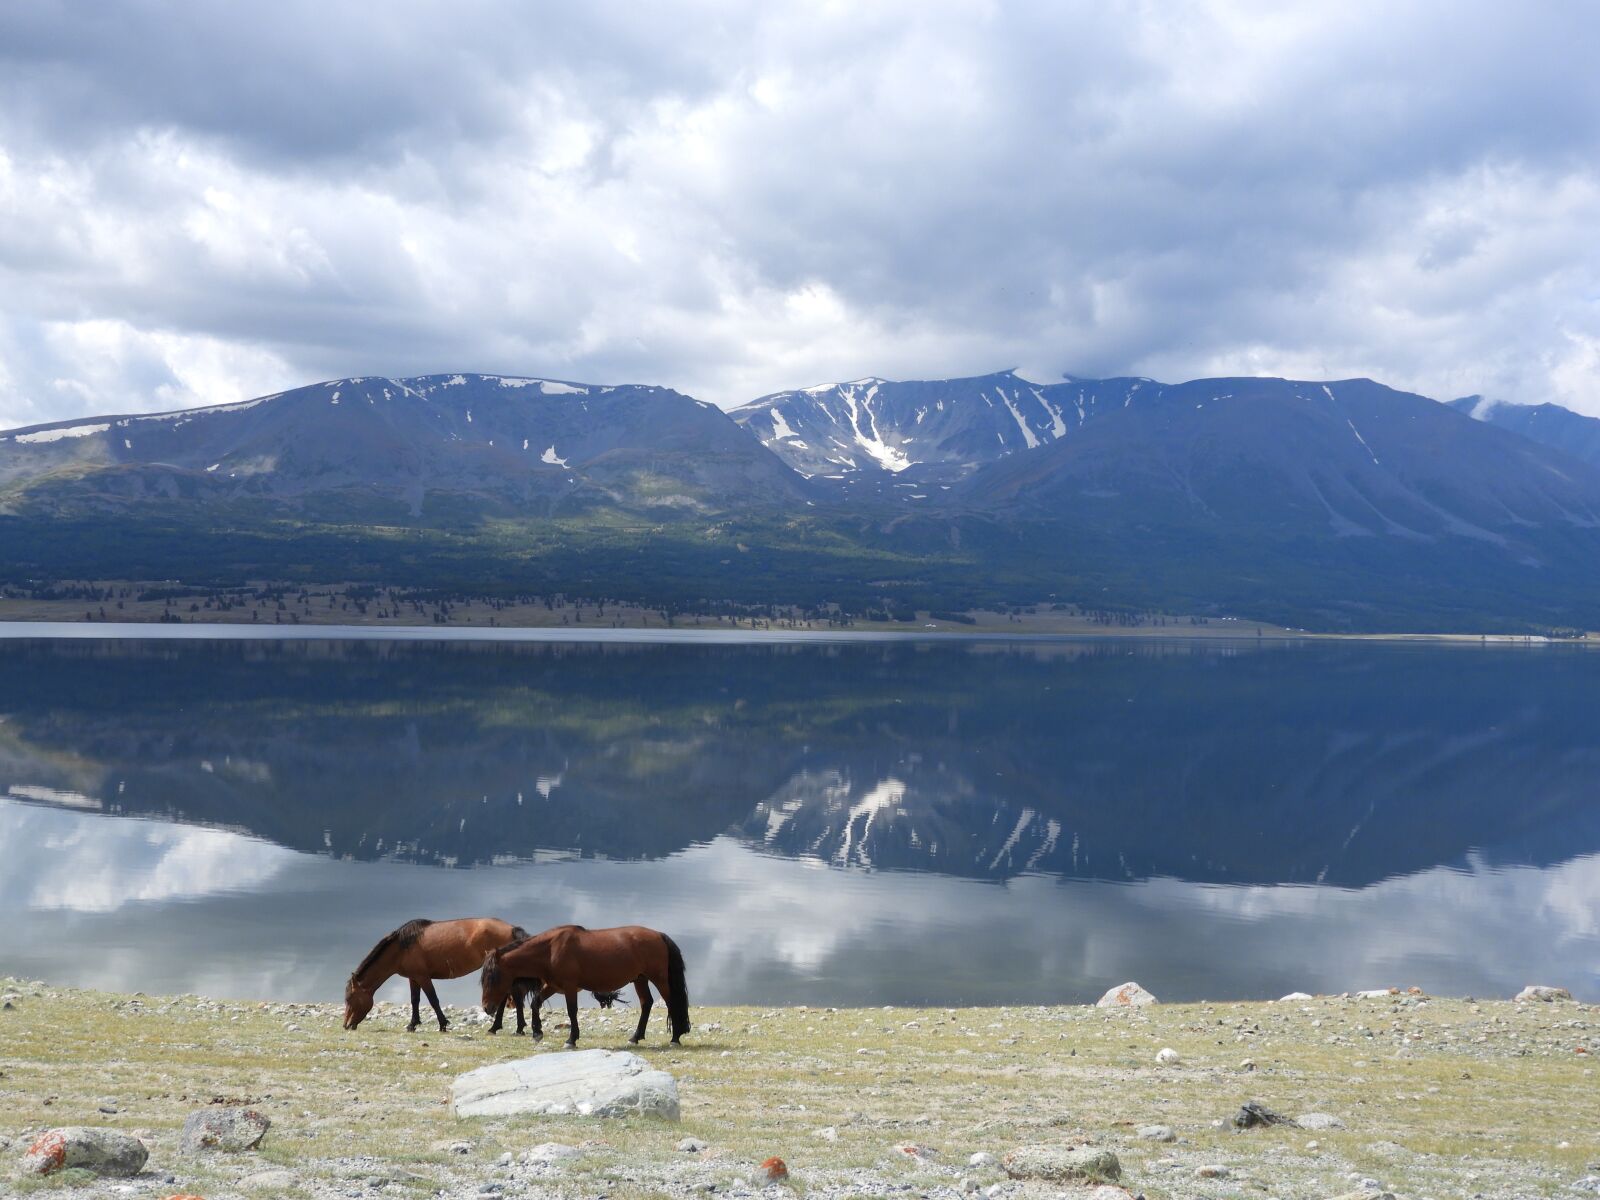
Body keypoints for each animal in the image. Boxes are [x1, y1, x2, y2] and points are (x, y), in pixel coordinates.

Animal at [344, 917, 534, 1033]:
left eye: (349, 999)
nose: (346, 1025)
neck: (401, 948)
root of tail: (512, 929)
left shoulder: (423, 977)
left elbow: (433, 1000)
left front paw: (443, 1024)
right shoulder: (414, 978)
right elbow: (415, 1000)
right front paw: (412, 1024)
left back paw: (508, 1028)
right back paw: (505, 1028)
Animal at [480, 924, 690, 1047]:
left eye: (492, 978)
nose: (487, 1008)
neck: (551, 949)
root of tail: (659, 935)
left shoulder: (569, 987)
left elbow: (572, 1011)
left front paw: (571, 1039)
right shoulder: (554, 986)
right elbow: (535, 1003)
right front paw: (537, 1032)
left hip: (659, 979)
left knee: (671, 1003)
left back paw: (675, 1038)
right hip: (640, 979)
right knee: (647, 1003)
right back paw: (635, 1037)